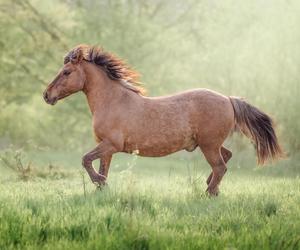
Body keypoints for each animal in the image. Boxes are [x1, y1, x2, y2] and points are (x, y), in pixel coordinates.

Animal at [42, 45, 284, 197]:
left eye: (66, 72)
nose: (46, 95)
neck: (113, 101)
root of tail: (228, 99)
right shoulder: (106, 147)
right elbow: (101, 166)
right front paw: (102, 188)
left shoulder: (111, 144)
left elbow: (85, 160)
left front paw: (99, 182)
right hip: (209, 144)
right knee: (226, 158)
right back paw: (211, 187)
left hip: (209, 145)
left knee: (220, 167)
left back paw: (208, 193)